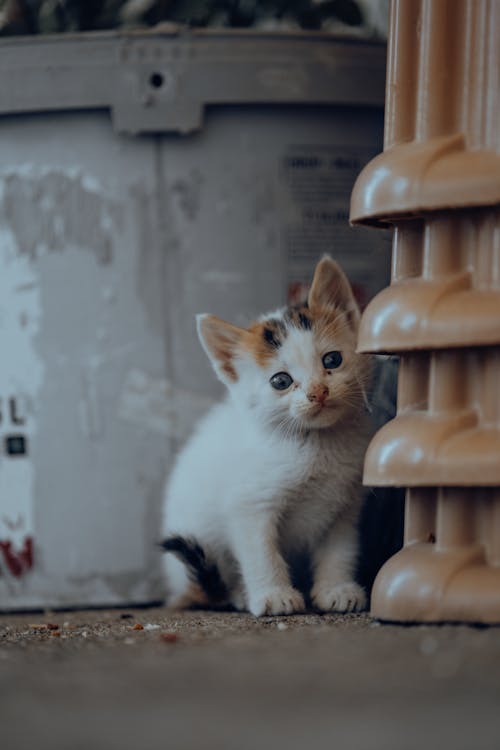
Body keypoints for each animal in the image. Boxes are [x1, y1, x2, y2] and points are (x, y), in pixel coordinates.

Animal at [160, 256, 372, 620]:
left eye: (332, 360)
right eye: (281, 381)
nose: (318, 392)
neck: (316, 444)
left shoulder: (345, 506)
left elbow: (340, 550)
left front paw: (336, 589)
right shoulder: (248, 505)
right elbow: (261, 552)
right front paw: (274, 596)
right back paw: (238, 595)